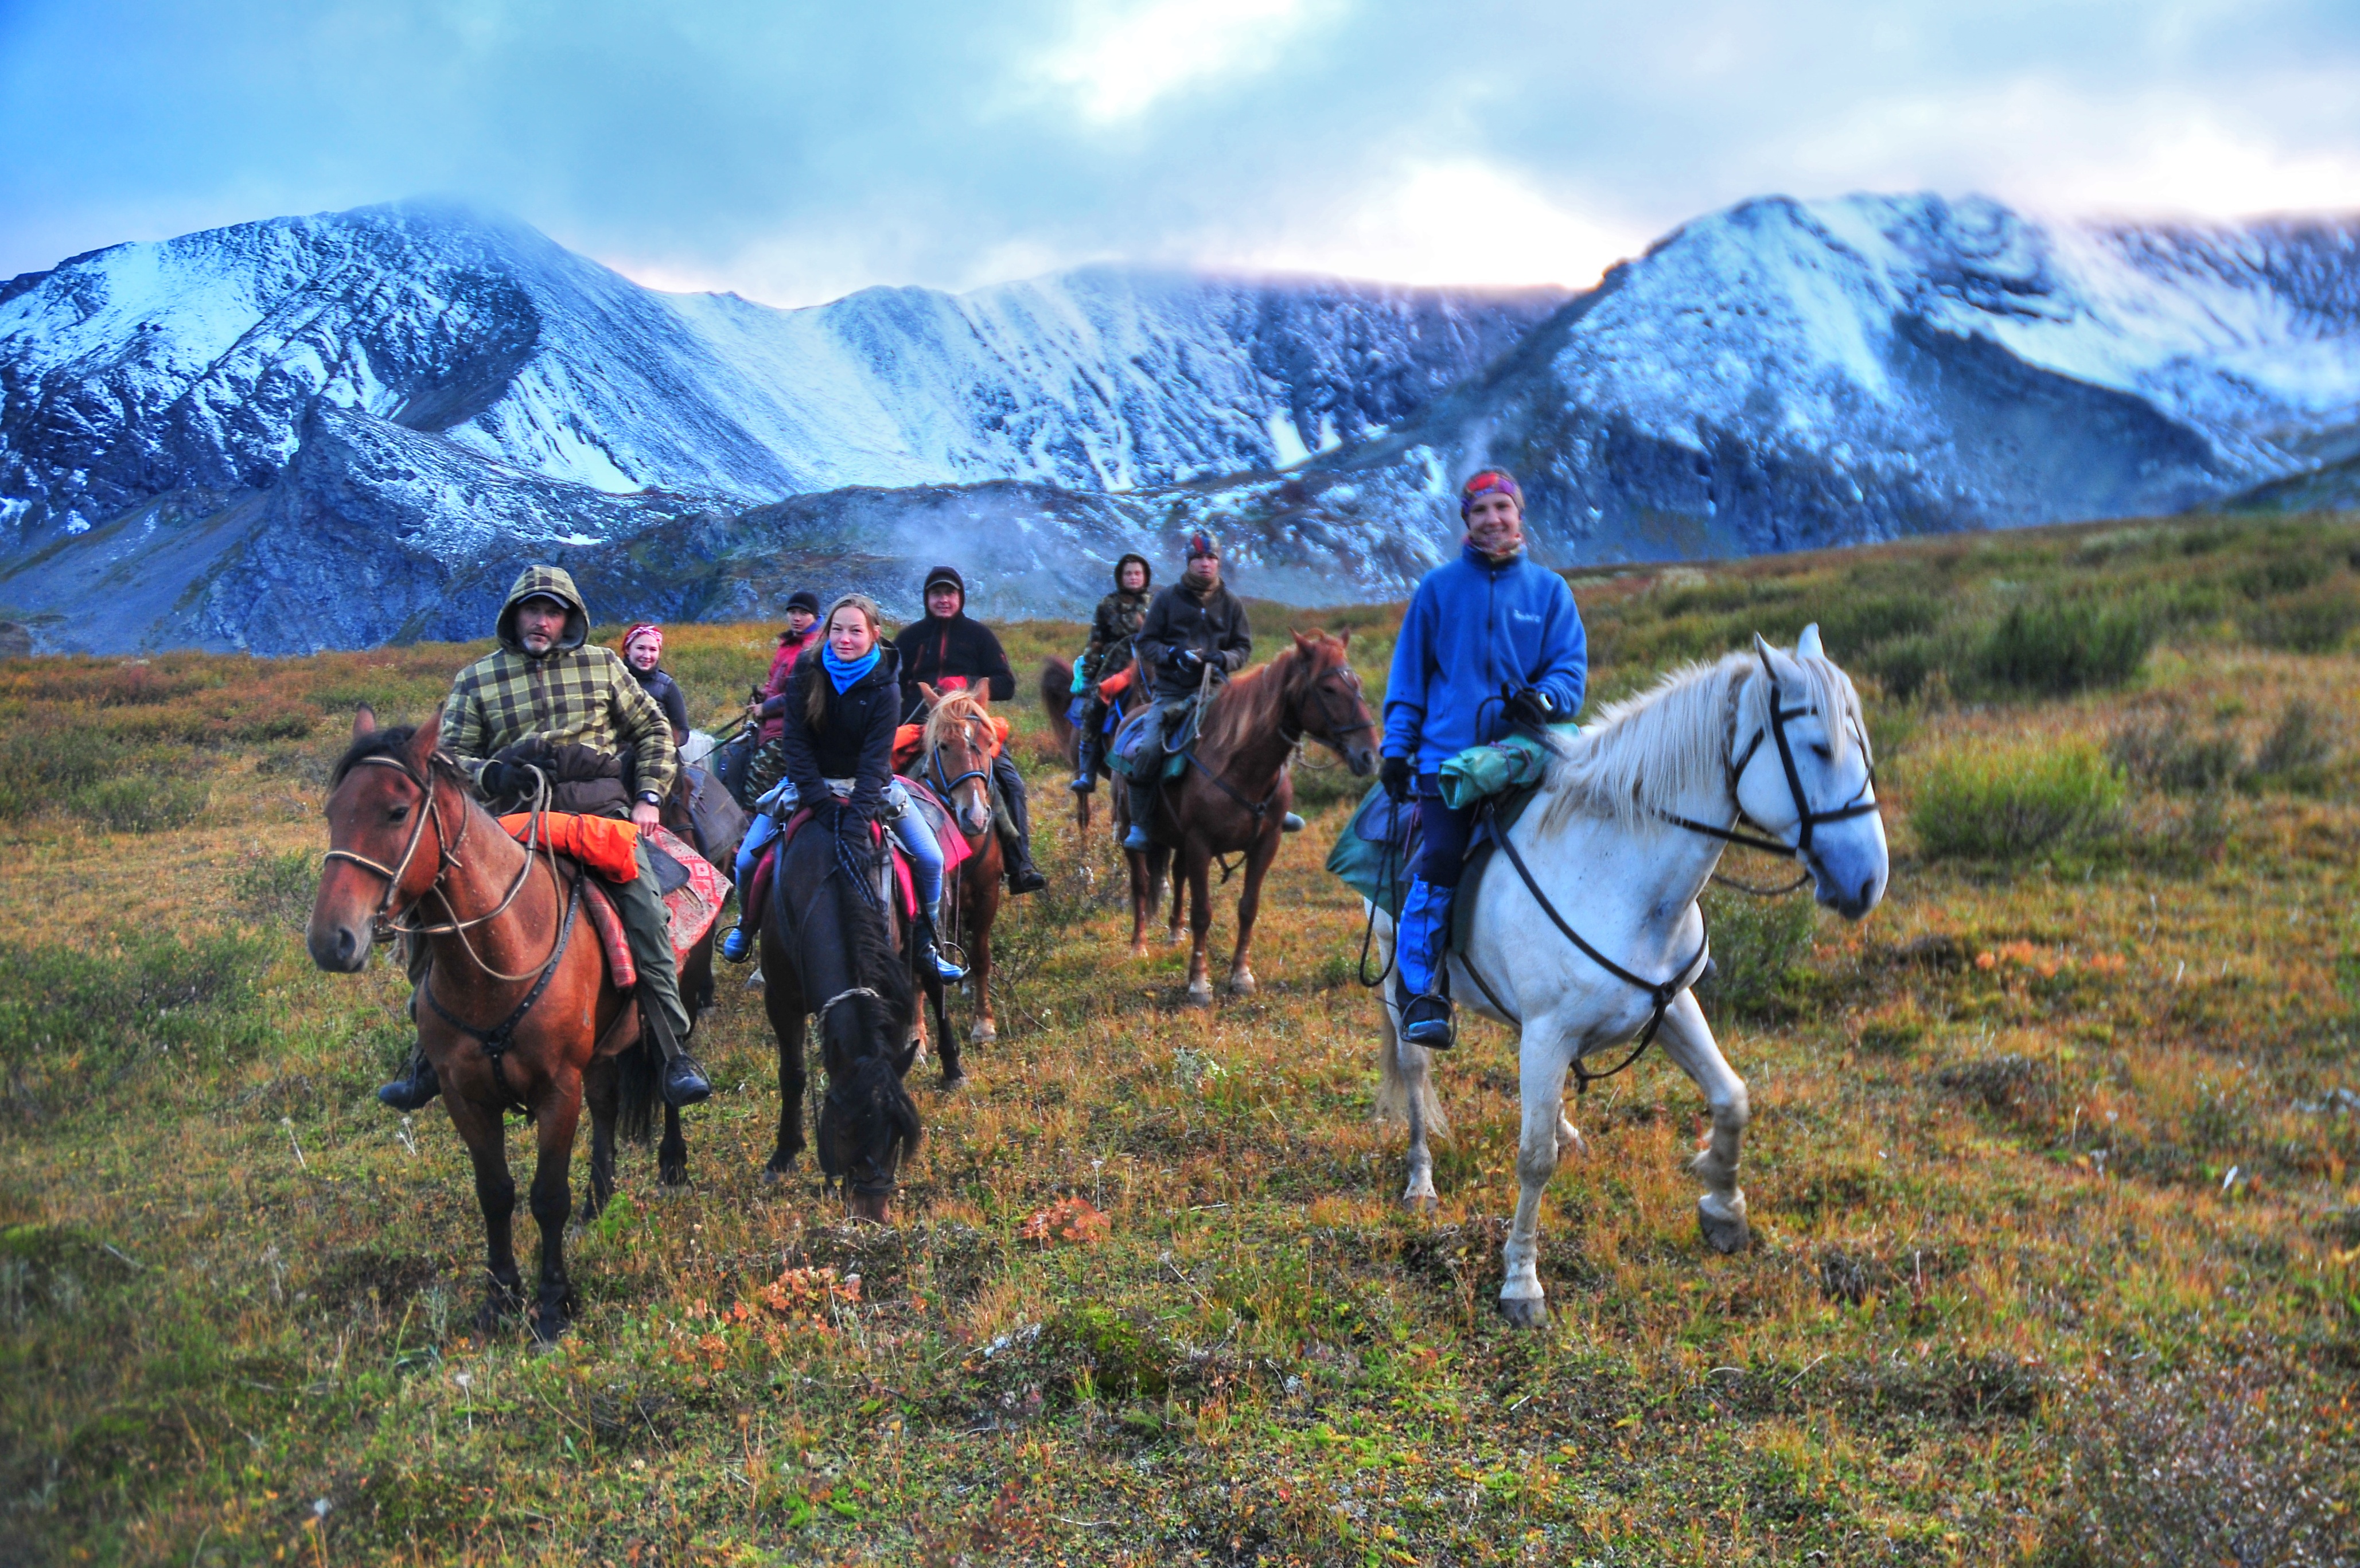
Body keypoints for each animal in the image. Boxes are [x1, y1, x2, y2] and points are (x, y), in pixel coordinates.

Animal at [306, 707, 689, 1329]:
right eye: (333, 812)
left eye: (396, 811)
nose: (330, 941)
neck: (501, 955)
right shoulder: (465, 1095)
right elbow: (496, 1193)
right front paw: (501, 1296)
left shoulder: (557, 1089)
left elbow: (547, 1196)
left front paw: (553, 1303)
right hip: (600, 1051)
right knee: (607, 1104)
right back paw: (599, 1198)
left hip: (681, 997)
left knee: (668, 1066)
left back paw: (674, 1160)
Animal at [760, 797, 934, 1226]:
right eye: (841, 1133)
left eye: (896, 1139)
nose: (871, 1216)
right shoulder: (780, 997)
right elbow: (792, 1073)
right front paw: (783, 1155)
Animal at [911, 693, 1005, 1047]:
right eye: (943, 746)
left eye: (989, 742)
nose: (975, 816)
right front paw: (917, 1036)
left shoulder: (987, 894)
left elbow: (980, 957)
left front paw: (984, 1024)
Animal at [1119, 627, 1378, 1004]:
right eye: (1328, 689)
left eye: (1356, 682)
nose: (1370, 755)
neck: (1241, 766)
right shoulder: (1200, 844)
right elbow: (1203, 913)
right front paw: (1198, 984)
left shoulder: (1265, 844)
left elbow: (1248, 908)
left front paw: (1241, 975)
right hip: (1130, 831)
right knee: (1140, 883)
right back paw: (1138, 946)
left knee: (1177, 876)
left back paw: (1174, 933)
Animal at [1369, 631, 1878, 1329]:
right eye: (1819, 747)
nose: (1868, 880)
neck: (1620, 878)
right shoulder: (1549, 1032)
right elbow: (1533, 1160)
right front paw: (1521, 1283)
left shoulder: (1671, 1006)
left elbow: (1732, 1097)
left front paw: (1724, 1211)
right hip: (1399, 983)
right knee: (1416, 1073)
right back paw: (1420, 1182)